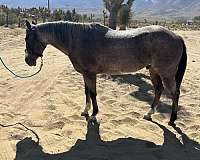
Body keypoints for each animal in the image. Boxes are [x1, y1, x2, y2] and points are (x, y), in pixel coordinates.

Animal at [24, 20, 187, 127]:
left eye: (27, 38)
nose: (28, 61)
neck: (77, 39)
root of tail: (176, 36)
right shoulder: (85, 74)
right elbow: (87, 92)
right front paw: (86, 111)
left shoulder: (90, 74)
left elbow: (93, 93)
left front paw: (94, 115)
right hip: (154, 71)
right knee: (158, 90)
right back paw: (149, 114)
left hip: (166, 73)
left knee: (174, 93)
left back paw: (172, 120)